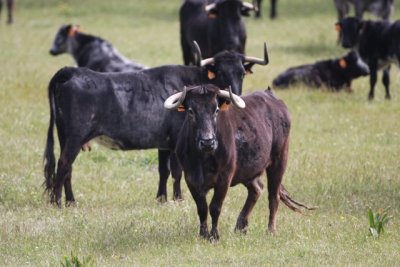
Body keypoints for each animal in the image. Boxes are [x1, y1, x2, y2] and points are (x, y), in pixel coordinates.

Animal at [43, 48, 268, 207]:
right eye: (220, 72)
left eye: (241, 72)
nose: (234, 95)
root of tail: (72, 71)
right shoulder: (177, 141)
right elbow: (177, 171)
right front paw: (178, 198)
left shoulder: (164, 143)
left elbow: (163, 171)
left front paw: (161, 198)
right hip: (75, 136)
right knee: (63, 164)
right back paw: (57, 203)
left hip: (64, 135)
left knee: (68, 168)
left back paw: (71, 201)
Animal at [164, 85, 314, 242]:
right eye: (191, 111)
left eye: (216, 110)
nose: (207, 142)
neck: (202, 158)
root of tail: (272, 97)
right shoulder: (190, 178)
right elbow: (202, 208)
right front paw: (203, 234)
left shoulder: (224, 178)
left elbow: (215, 207)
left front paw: (214, 236)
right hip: (248, 171)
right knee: (257, 189)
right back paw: (240, 226)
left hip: (279, 160)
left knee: (273, 196)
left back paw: (271, 230)